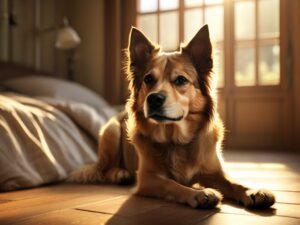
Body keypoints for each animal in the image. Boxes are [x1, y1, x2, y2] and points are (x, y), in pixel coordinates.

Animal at [69, 24, 276, 209]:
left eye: (181, 80)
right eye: (148, 79)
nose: (154, 99)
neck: (176, 140)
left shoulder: (213, 171)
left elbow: (234, 182)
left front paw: (253, 191)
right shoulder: (147, 179)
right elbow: (172, 184)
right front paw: (200, 193)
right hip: (111, 131)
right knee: (104, 169)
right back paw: (120, 174)